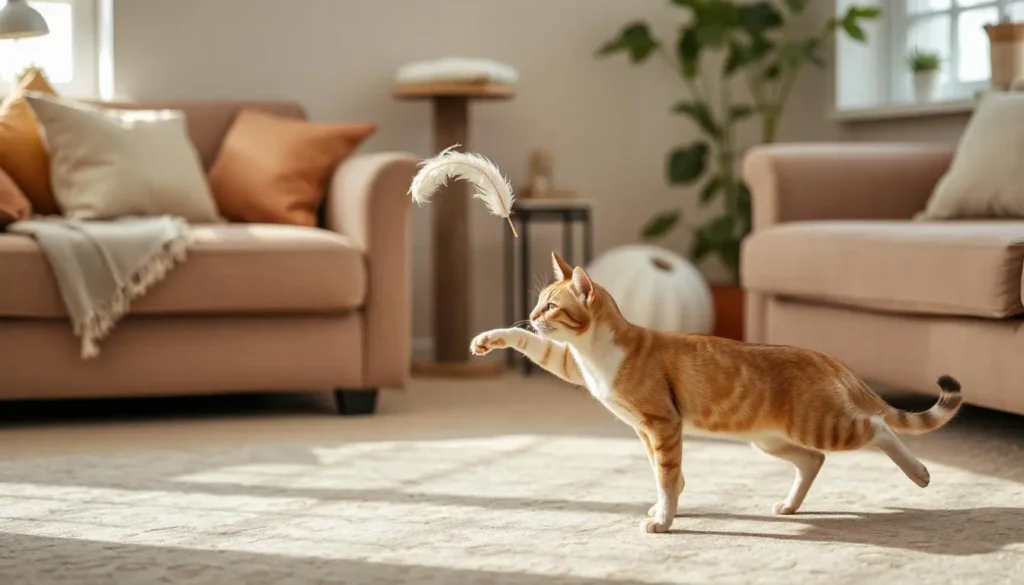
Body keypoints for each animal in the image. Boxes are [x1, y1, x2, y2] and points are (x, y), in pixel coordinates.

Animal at [468, 252, 962, 536]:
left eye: (551, 305)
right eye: (539, 303)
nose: (532, 315)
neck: (597, 352)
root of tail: (827, 357)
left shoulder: (662, 424)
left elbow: (667, 474)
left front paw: (664, 518)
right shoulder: (586, 377)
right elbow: (664, 473)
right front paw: (490, 339)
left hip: (822, 424)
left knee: (877, 428)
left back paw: (919, 473)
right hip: (770, 439)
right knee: (813, 460)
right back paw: (789, 506)